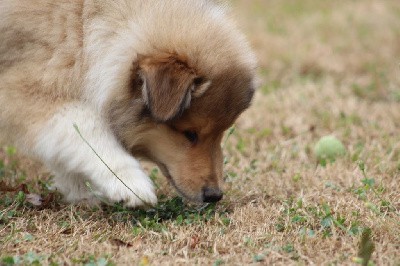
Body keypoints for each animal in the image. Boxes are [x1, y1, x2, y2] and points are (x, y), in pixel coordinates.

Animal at [0, 0, 256, 207]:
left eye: (221, 133)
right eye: (190, 134)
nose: (214, 195)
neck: (86, 24)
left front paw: (82, 193)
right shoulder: (24, 88)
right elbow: (83, 125)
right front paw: (130, 184)